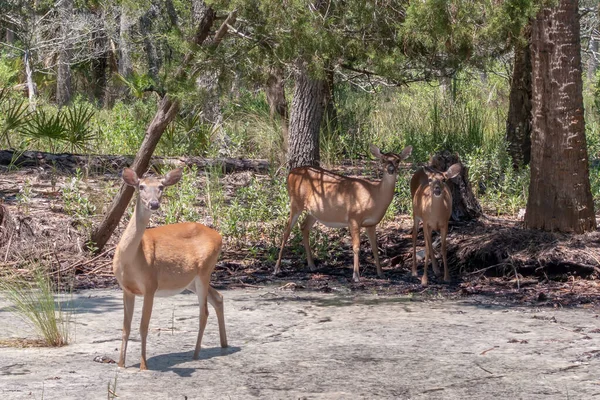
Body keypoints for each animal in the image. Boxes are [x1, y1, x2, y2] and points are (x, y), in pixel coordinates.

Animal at [112, 167, 227, 370]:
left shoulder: (150, 285)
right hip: (190, 280)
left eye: (161, 187)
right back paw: (224, 345)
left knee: (203, 311)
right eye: (141, 186)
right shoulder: (127, 289)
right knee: (218, 298)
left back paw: (195, 355)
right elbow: (126, 328)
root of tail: (219, 236)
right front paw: (120, 364)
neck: (130, 260)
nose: (154, 203)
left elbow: (143, 326)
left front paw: (143, 365)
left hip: (205, 269)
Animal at [274, 144, 410, 282]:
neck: (374, 195)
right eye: (383, 160)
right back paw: (277, 268)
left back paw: (312, 265)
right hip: (295, 202)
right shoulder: (354, 217)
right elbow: (356, 247)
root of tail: (290, 173)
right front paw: (356, 275)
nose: (391, 169)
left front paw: (381, 273)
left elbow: (375, 248)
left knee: (304, 227)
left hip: (313, 212)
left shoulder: (371, 223)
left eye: (398, 160)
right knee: (286, 231)